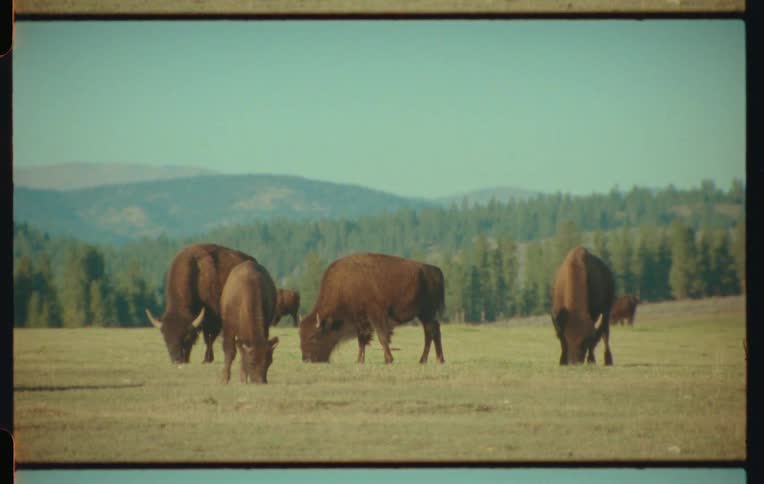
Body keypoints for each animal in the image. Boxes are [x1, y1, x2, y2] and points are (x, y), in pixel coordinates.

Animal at [299, 253, 445, 364]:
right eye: (301, 335)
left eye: (313, 336)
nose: (306, 359)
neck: (346, 285)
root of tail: (435, 270)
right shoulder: (360, 321)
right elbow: (362, 341)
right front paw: (359, 361)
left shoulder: (376, 316)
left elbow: (382, 337)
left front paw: (388, 360)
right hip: (425, 314)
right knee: (434, 330)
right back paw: (439, 360)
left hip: (427, 312)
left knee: (430, 331)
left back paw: (424, 360)